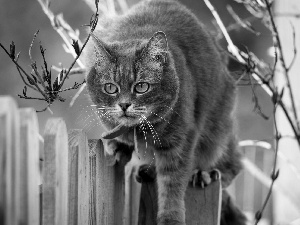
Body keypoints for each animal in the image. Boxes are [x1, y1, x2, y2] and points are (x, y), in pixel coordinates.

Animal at [82, 0, 246, 224]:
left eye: (142, 87)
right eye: (110, 88)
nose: (124, 105)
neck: (139, 131)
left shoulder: (180, 141)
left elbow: (172, 183)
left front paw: (171, 217)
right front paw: (116, 146)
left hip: (218, 125)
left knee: (231, 163)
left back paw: (204, 173)